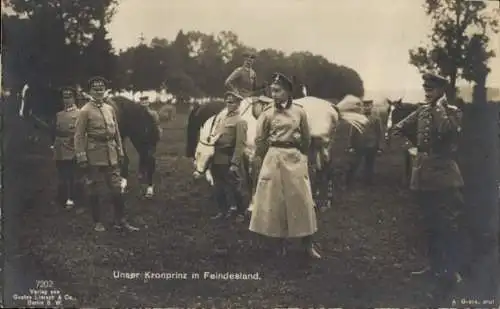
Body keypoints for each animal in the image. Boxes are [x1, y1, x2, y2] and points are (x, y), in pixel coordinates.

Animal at [193, 94, 370, 209]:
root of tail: (332, 106)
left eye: (200, 153)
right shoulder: (244, 154)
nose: (196, 174)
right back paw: (314, 199)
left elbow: (253, 178)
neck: (242, 119)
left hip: (325, 145)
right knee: (320, 171)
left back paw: (327, 202)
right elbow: (249, 178)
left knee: (329, 170)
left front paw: (252, 205)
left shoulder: (252, 154)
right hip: (316, 146)